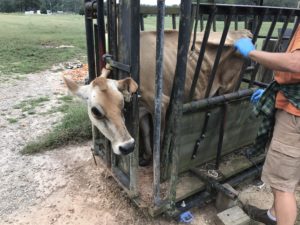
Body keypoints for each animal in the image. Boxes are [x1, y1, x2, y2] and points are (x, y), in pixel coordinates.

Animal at [64, 29, 252, 163]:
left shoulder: (161, 104)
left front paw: (157, 160)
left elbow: (158, 136)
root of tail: (243, 31)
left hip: (230, 87)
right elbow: (146, 132)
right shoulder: (141, 111)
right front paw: (146, 156)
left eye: (121, 106)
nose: (127, 147)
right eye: (95, 111)